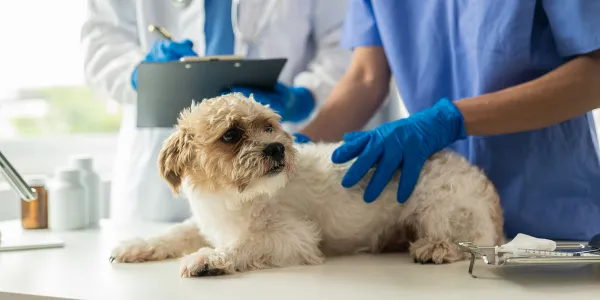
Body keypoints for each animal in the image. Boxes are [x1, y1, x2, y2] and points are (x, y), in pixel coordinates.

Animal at [108, 93, 502, 276]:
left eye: (269, 126)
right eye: (231, 134)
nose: (277, 147)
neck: (234, 199)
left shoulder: (295, 238)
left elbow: (244, 244)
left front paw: (208, 259)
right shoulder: (205, 223)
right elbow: (172, 234)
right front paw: (136, 246)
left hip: (433, 203)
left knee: (463, 242)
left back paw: (435, 248)